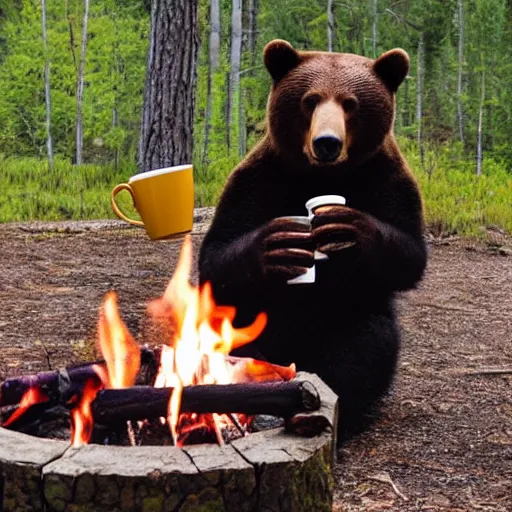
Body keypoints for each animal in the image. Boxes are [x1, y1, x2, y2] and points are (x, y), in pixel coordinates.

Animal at [198, 40, 426, 442]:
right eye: (310, 100)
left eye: (350, 103)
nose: (327, 143)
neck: (321, 176)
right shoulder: (258, 178)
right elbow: (218, 253)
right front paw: (276, 245)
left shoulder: (388, 178)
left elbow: (409, 254)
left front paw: (347, 226)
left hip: (344, 316)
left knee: (366, 344)